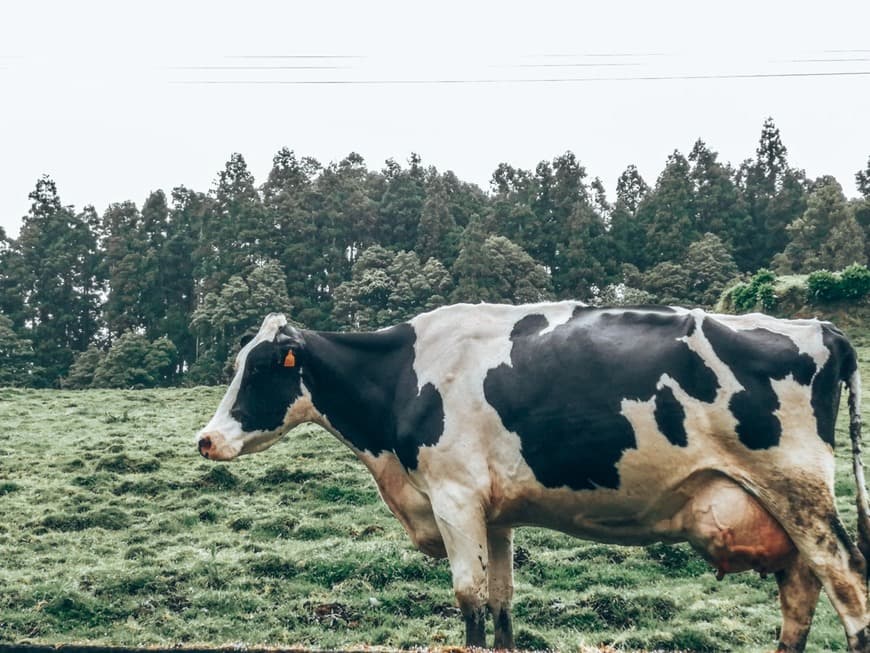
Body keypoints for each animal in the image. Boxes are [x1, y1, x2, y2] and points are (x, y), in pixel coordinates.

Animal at [196, 304, 870, 648]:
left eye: (261, 369)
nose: (205, 439)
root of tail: (820, 328)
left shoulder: (455, 498)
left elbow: (469, 602)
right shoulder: (494, 515)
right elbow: (501, 603)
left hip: (800, 491)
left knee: (849, 584)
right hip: (781, 507)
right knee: (801, 595)